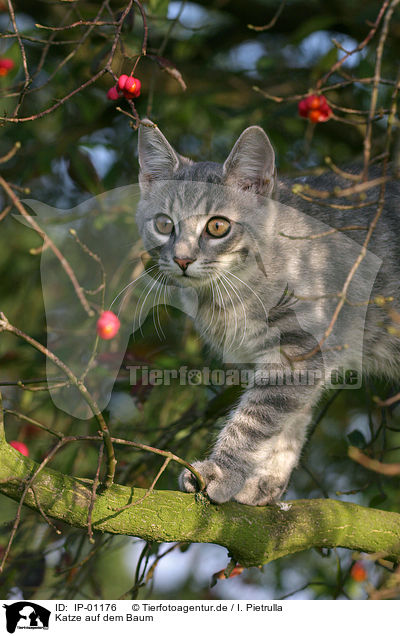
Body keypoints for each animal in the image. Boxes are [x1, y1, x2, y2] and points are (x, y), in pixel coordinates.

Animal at [135, 120, 400, 506]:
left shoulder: (299, 349)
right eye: (164, 224)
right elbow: (290, 419)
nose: (182, 259)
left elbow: (255, 418)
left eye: (218, 226)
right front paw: (265, 479)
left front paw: (223, 470)